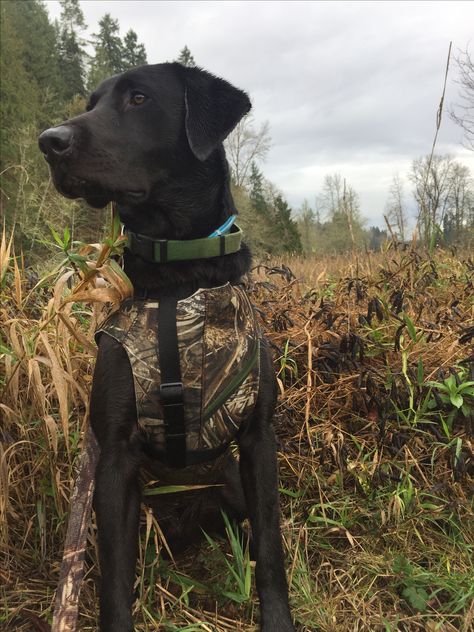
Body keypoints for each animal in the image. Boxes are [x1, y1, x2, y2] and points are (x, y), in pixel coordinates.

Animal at [39, 60, 294, 632]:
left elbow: (271, 550)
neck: (180, 278)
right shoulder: (113, 459)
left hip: (232, 485)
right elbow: (114, 581)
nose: (50, 141)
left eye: (138, 98)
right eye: (91, 103)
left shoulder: (259, 438)